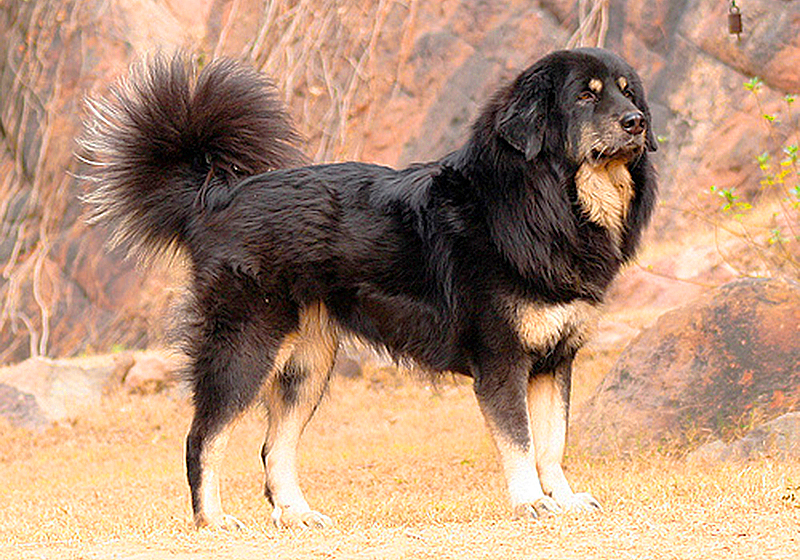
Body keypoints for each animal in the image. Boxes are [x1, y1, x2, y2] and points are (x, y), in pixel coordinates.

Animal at [81, 49, 656, 528]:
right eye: (586, 95)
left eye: (627, 91)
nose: (638, 122)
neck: (543, 202)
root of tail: (211, 197)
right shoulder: (502, 360)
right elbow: (521, 442)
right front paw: (531, 503)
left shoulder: (555, 361)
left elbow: (552, 444)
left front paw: (564, 499)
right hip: (247, 346)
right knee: (203, 437)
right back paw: (213, 522)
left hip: (306, 367)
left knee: (273, 448)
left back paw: (297, 516)